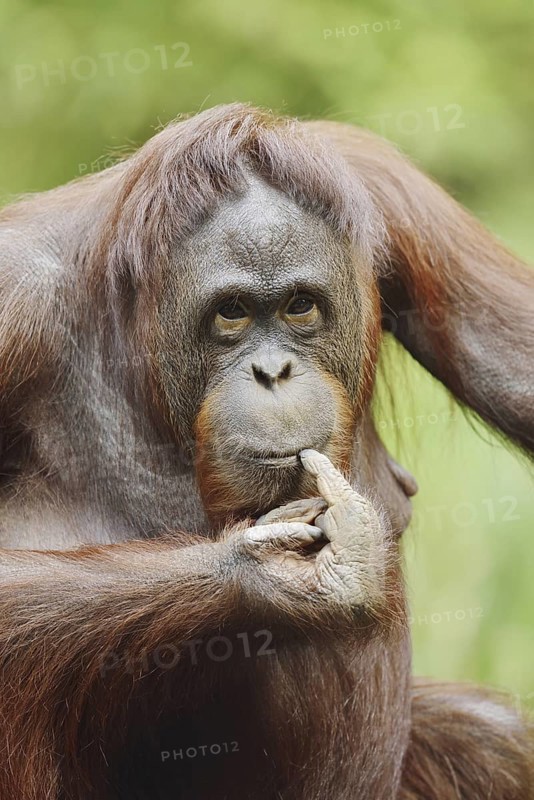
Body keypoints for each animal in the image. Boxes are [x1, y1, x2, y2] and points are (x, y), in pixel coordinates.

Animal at [0, 103, 532, 799]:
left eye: (299, 306)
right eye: (231, 314)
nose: (273, 370)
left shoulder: (391, 193)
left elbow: (519, 372)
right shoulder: (15, 299)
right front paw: (280, 577)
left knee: (496, 735)